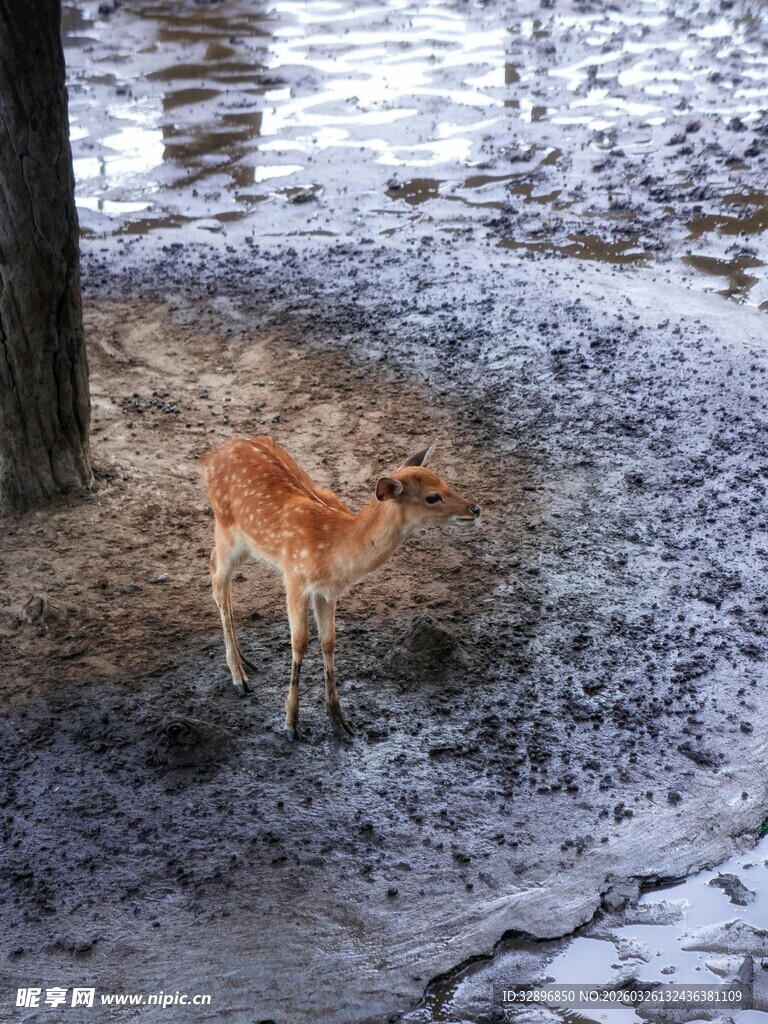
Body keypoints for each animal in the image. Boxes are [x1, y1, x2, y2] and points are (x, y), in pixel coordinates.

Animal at [201, 436, 480, 740]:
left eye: (446, 483)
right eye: (432, 497)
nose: (475, 509)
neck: (334, 547)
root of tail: (210, 456)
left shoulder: (327, 591)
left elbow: (329, 642)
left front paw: (339, 721)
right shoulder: (294, 576)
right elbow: (299, 642)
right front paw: (291, 725)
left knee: (218, 572)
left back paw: (244, 661)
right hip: (227, 527)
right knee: (216, 574)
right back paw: (239, 677)